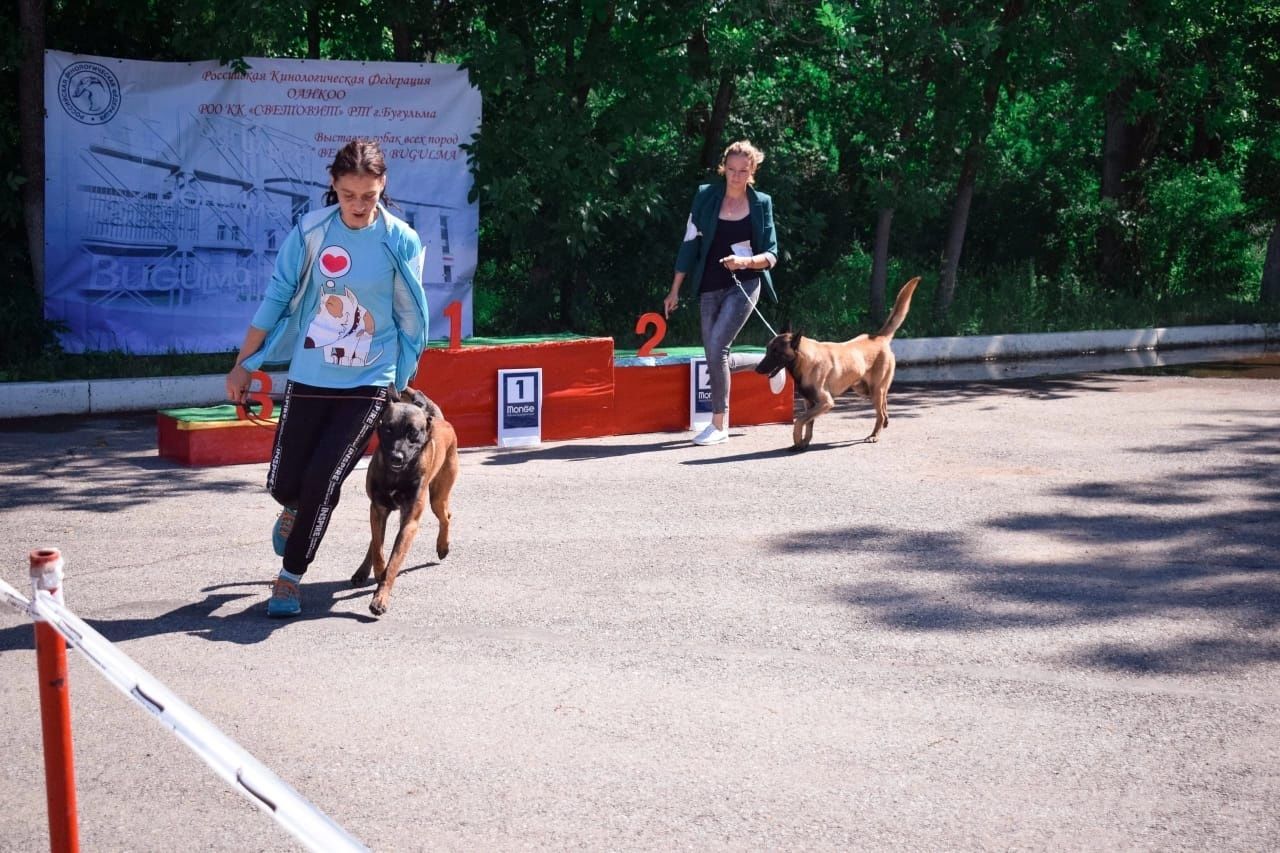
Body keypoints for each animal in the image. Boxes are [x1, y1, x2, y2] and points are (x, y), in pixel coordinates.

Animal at [353, 384, 463, 612]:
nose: (396, 457)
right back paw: (363, 571)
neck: (397, 474)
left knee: (446, 516)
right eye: (388, 429)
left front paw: (381, 597)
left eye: (413, 432)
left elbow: (394, 561)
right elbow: (378, 549)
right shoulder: (378, 509)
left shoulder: (409, 522)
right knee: (375, 540)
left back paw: (443, 546)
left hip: (437, 497)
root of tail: (437, 418)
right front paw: (378, 572)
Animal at [747, 275, 921, 448]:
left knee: (880, 413)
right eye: (768, 350)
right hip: (865, 390)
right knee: (884, 406)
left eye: (776, 353)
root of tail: (878, 337)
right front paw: (804, 442)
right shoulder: (810, 403)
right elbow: (808, 423)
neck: (805, 361)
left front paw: (798, 440)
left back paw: (874, 435)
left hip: (875, 390)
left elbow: (800, 420)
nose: (757, 369)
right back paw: (885, 423)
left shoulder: (825, 402)